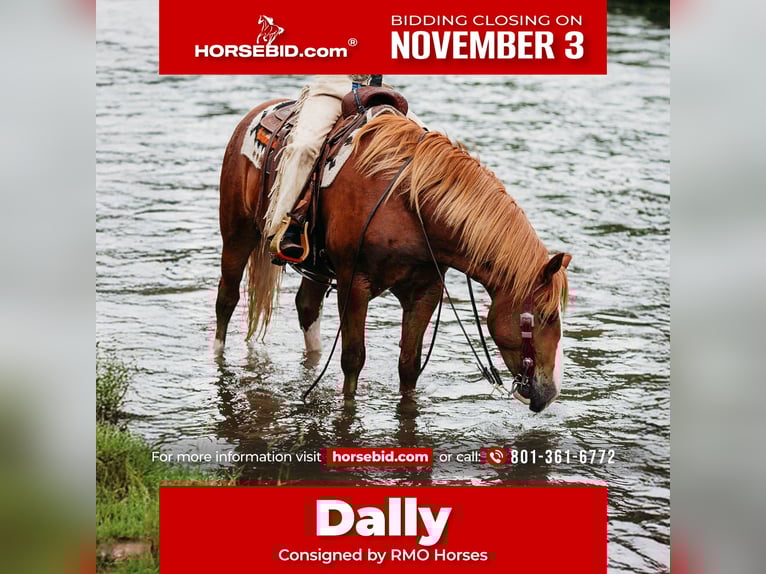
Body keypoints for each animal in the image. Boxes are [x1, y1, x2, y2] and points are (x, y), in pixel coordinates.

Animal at [214, 100, 571, 413]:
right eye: (545, 316)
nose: (550, 392)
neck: (409, 204)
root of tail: (256, 114)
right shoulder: (354, 285)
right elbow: (353, 359)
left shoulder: (425, 291)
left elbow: (409, 365)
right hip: (237, 235)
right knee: (227, 300)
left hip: (316, 267)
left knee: (307, 307)